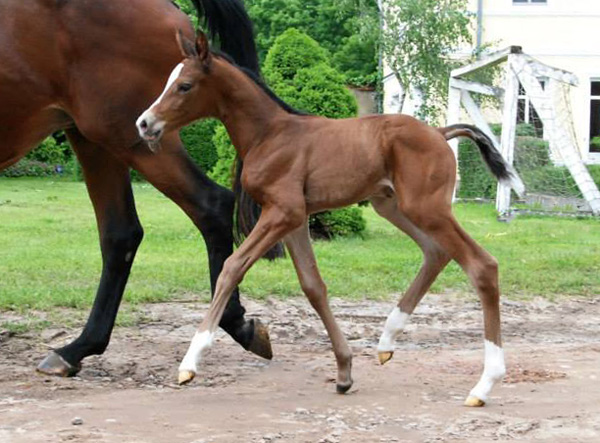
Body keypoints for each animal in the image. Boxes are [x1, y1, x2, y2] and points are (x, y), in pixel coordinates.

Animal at [137, 29, 524, 408]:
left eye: (184, 85)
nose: (144, 123)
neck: (268, 134)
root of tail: (440, 133)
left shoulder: (283, 212)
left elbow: (232, 267)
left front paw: (190, 363)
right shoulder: (294, 220)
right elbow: (313, 286)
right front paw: (344, 372)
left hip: (426, 208)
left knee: (482, 265)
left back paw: (484, 385)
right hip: (392, 205)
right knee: (436, 252)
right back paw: (387, 341)